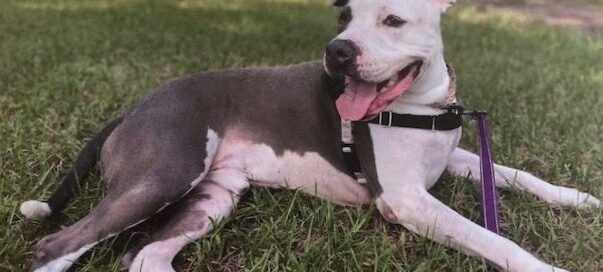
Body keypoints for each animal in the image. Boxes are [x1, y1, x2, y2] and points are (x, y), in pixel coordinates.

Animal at [18, 0, 600, 272]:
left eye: (393, 19)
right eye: (344, 15)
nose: (337, 50)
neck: (420, 104)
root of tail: (132, 109)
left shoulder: (450, 158)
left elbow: (515, 173)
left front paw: (578, 198)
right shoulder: (407, 201)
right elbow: (491, 237)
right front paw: (546, 266)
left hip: (213, 196)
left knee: (145, 256)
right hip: (164, 175)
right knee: (57, 243)